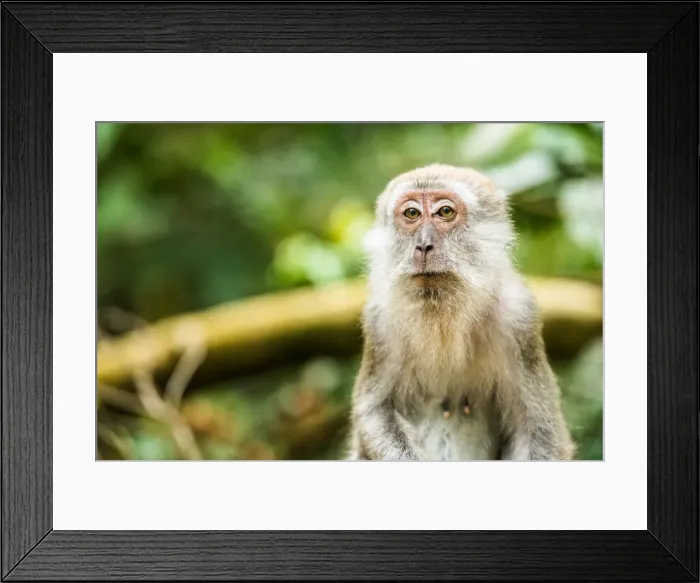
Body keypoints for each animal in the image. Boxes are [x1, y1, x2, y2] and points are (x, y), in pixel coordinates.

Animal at [348, 163, 575, 461]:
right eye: (412, 213)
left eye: (445, 211)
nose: (423, 245)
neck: (443, 315)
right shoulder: (380, 322)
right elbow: (375, 411)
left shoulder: (520, 318)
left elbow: (540, 430)